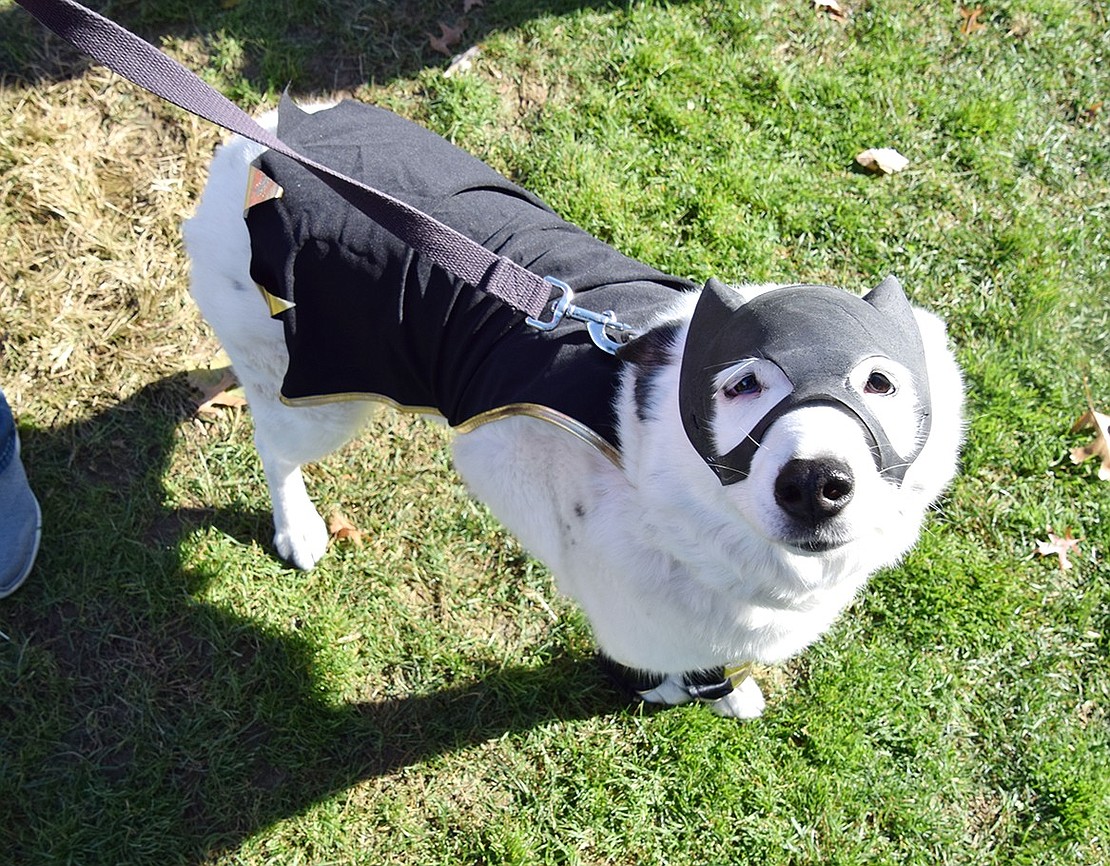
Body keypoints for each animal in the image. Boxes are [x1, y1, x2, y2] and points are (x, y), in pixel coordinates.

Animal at [184, 101, 963, 719]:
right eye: (740, 385)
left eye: (880, 383)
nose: (815, 483)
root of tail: (256, 143)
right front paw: (679, 690)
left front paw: (729, 691)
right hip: (319, 396)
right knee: (274, 447)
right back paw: (299, 528)